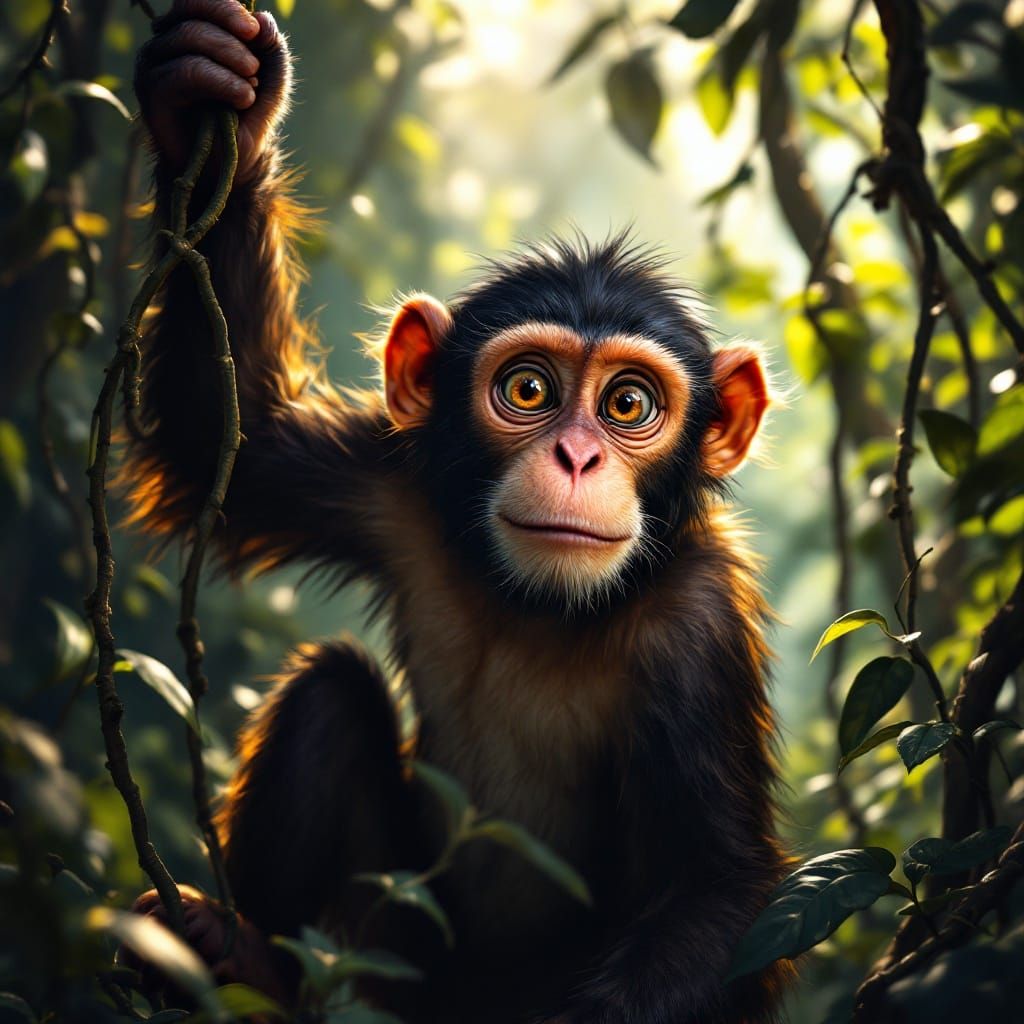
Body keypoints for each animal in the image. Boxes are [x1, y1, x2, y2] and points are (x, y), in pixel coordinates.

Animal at [127, 2, 795, 1021]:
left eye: (628, 404)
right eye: (527, 389)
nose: (576, 455)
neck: (539, 607)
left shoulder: (701, 624)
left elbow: (716, 895)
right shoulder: (388, 484)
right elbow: (228, 448)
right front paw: (217, 91)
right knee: (329, 693)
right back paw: (245, 956)